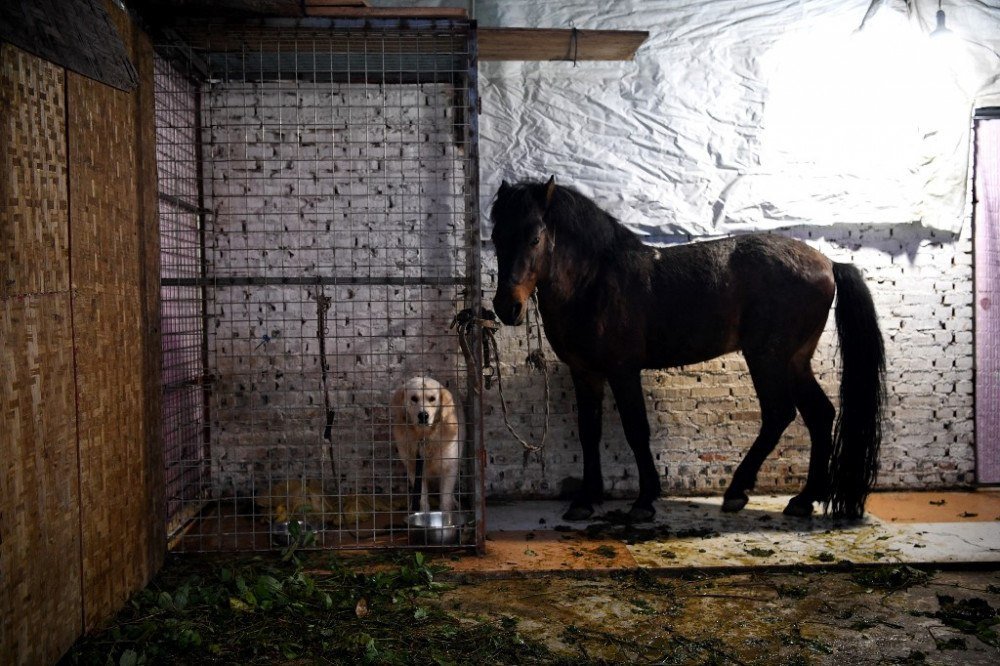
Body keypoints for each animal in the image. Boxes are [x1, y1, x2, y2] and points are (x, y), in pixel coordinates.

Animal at [392, 376, 466, 510]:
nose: (423, 415)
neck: (425, 436)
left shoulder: (449, 467)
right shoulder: (414, 468)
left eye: (432, 399)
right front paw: (423, 511)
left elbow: (445, 499)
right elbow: (422, 497)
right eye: (414, 398)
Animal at [488, 179, 888, 520]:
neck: (596, 281)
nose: (507, 307)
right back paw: (803, 500)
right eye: (494, 236)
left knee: (779, 414)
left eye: (535, 237)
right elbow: (589, 431)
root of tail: (828, 263)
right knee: (819, 414)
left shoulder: (622, 370)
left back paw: (738, 492)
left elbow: (636, 429)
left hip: (768, 357)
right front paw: (585, 501)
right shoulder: (584, 372)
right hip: (794, 361)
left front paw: (644, 502)